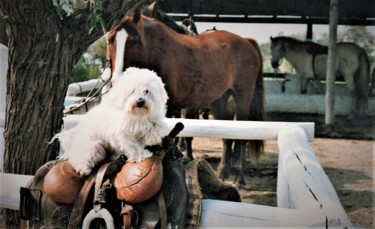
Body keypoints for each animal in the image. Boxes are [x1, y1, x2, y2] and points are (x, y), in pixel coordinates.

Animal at [104, 9, 266, 184]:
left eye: (134, 41)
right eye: (109, 40)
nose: (117, 81)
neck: (158, 51)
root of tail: (247, 42)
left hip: (242, 97)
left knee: (242, 136)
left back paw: (239, 177)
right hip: (221, 101)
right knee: (227, 136)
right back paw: (223, 172)